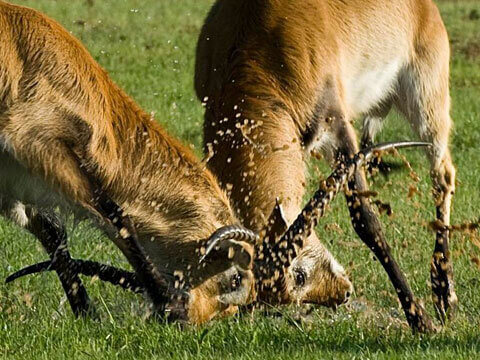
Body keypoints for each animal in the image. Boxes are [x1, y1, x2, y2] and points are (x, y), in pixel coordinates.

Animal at [0, 0, 262, 324]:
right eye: (236, 278)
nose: (190, 321)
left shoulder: (11, 180)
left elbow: (53, 230)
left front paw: (87, 314)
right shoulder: (39, 145)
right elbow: (114, 215)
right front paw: (165, 302)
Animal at [194, 0, 454, 332]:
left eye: (299, 275)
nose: (342, 295)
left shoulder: (337, 129)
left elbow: (366, 221)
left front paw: (420, 319)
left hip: (426, 104)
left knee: (443, 174)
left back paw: (445, 297)